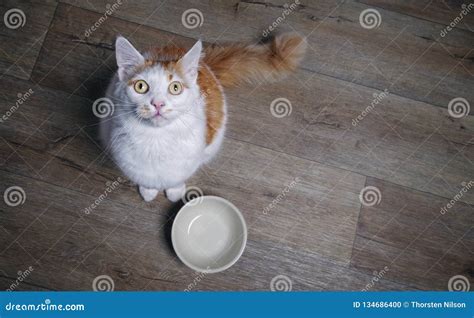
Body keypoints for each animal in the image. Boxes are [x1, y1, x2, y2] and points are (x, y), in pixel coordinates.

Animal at [101, 32, 308, 201]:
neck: (156, 140)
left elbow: (175, 179)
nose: (158, 103)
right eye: (140, 86)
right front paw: (148, 191)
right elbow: (146, 179)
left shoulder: (189, 159)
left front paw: (174, 192)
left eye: (175, 88)